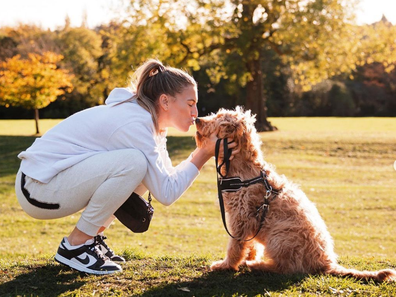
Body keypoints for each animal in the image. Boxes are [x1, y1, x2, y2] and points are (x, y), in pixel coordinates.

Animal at [196, 106, 396, 280]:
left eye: (219, 119)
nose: (197, 119)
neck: (242, 169)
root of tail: (326, 262)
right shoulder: (249, 222)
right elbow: (250, 245)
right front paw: (247, 257)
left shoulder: (241, 218)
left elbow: (235, 246)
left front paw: (226, 265)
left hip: (280, 237)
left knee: (286, 268)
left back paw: (256, 265)